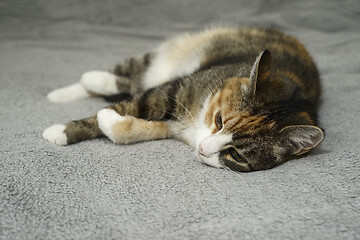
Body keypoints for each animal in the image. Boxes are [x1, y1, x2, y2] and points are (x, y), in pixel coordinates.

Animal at [43, 27, 324, 172]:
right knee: (135, 75)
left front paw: (110, 120)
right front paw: (62, 131)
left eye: (237, 155)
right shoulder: (179, 88)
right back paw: (77, 86)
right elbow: (141, 101)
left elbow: (127, 128)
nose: (203, 149)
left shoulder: (174, 126)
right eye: (219, 120)